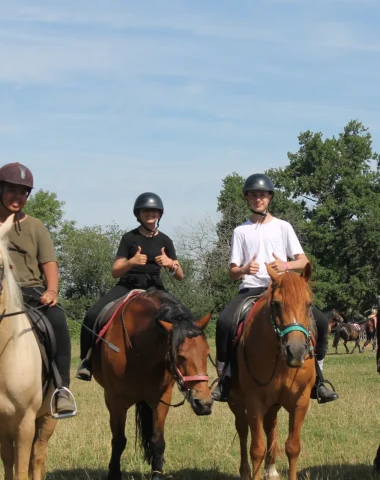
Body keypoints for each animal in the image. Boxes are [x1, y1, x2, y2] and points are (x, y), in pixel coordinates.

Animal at [91, 288, 212, 480]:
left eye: (207, 353)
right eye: (180, 356)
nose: (204, 403)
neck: (137, 350)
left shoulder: (160, 400)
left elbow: (157, 442)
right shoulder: (115, 401)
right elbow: (118, 440)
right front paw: (114, 473)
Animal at [227, 262, 316, 480]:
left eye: (309, 304)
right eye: (276, 304)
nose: (296, 351)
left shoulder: (300, 401)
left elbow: (293, 447)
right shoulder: (254, 402)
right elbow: (256, 449)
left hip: (273, 404)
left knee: (270, 426)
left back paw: (271, 468)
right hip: (236, 401)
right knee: (242, 430)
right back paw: (245, 472)